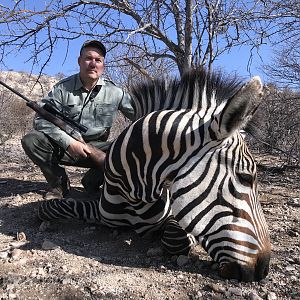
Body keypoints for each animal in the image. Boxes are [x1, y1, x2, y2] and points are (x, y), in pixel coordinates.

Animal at [38, 67, 272, 282]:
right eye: (246, 178)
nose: (263, 269)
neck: (133, 193)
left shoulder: (178, 217)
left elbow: (174, 237)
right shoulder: (99, 211)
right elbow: (48, 207)